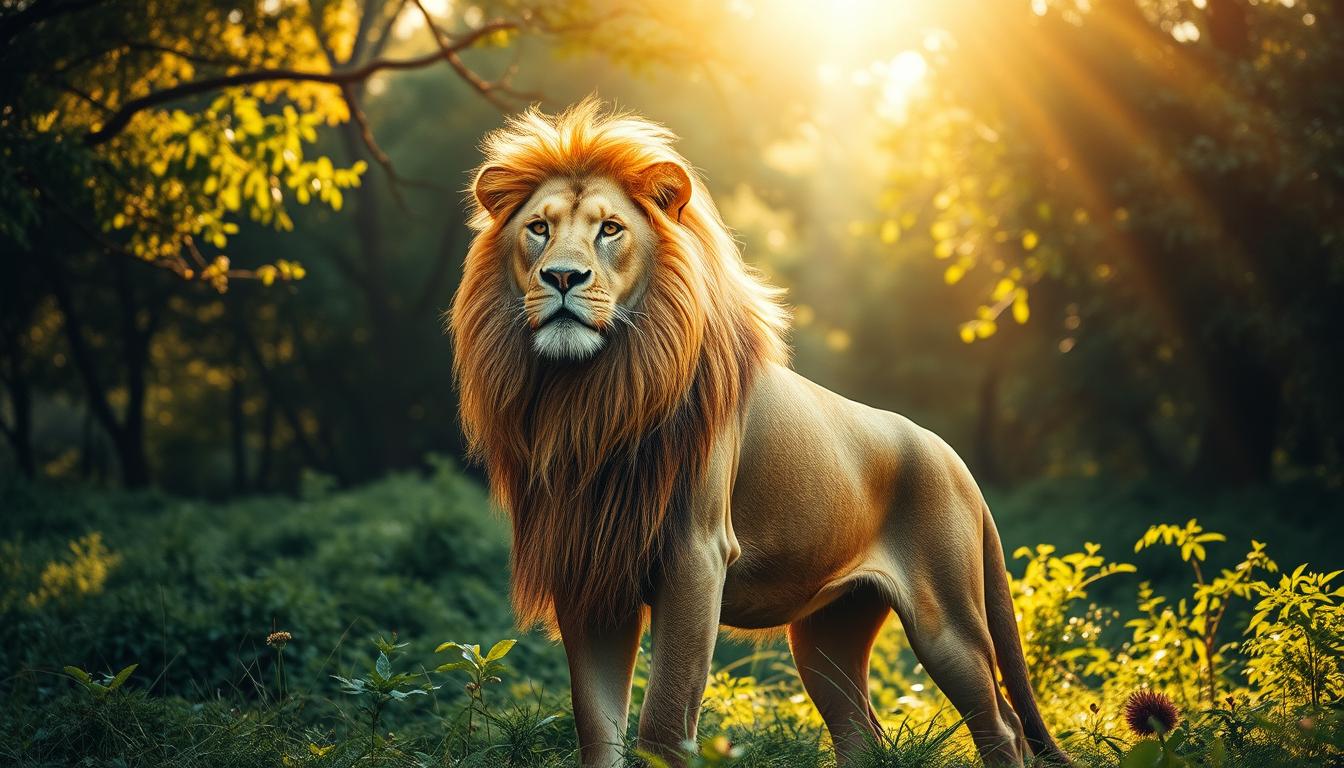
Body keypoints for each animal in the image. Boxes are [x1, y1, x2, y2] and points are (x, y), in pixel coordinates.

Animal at [449, 99, 1067, 768]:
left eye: (609, 229)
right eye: (538, 228)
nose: (562, 277)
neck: (591, 394)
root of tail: (955, 462)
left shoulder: (696, 552)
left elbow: (663, 723)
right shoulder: (587, 564)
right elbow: (596, 726)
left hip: (946, 621)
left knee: (1002, 724)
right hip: (826, 636)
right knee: (862, 733)